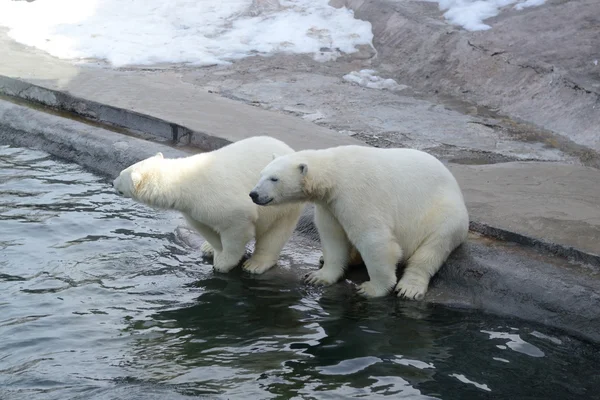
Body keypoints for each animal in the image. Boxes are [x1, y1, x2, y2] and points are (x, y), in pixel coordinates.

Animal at [112, 138, 304, 276]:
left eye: (121, 174)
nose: (113, 182)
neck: (185, 183)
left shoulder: (224, 201)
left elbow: (236, 228)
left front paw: (223, 263)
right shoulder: (192, 209)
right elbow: (206, 228)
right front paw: (214, 249)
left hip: (281, 201)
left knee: (276, 233)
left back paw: (256, 264)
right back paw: (207, 248)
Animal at [248, 145, 468, 298]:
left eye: (274, 179)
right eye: (261, 174)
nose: (254, 194)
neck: (335, 174)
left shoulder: (358, 196)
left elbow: (375, 240)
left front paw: (373, 288)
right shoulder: (330, 205)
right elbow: (332, 237)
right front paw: (318, 277)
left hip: (443, 214)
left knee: (432, 249)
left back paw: (409, 288)